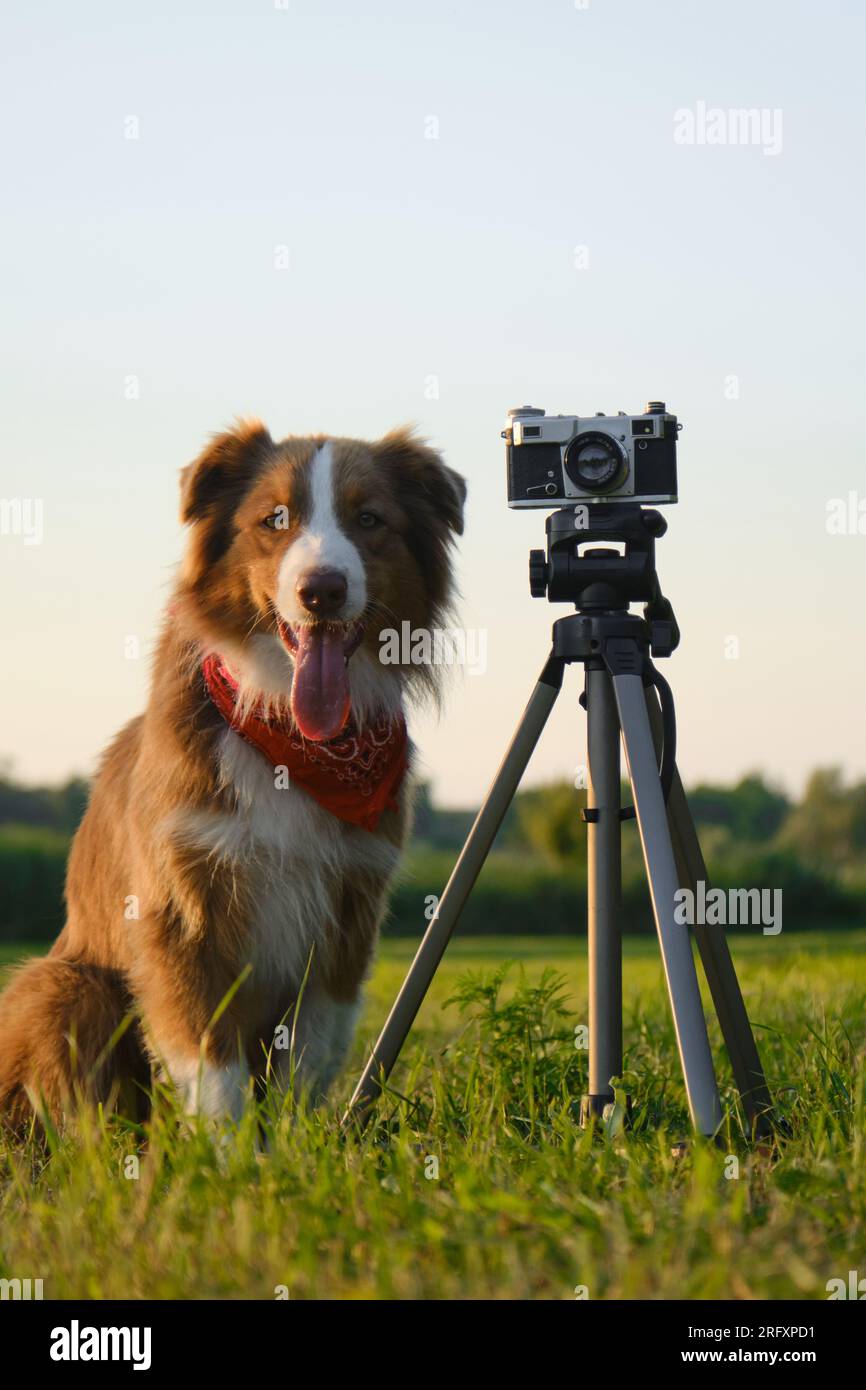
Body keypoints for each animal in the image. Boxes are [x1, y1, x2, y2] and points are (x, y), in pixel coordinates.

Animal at [0, 422, 467, 1128]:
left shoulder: (345, 913)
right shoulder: (179, 905)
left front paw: (295, 1145)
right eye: (275, 519)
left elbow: (305, 1055)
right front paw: (226, 1150)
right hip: (61, 983)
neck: (287, 729)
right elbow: (211, 1062)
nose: (321, 590)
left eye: (369, 519)